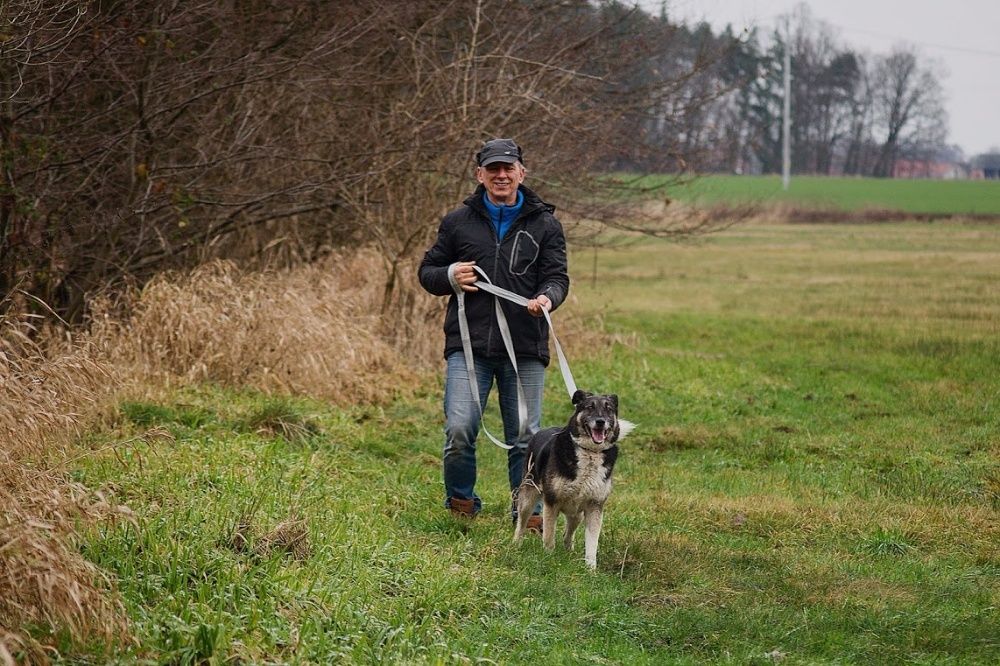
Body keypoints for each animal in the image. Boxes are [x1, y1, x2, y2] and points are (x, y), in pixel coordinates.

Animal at [512, 390, 636, 564]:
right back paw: (516, 545)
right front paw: (548, 558)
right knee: (521, 523)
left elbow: (592, 543)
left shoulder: (594, 506)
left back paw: (568, 552)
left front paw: (590, 568)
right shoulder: (551, 502)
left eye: (609, 409)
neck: (590, 452)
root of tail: (540, 432)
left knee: (567, 535)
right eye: (590, 407)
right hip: (528, 497)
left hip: (577, 514)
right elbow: (549, 536)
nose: (600, 422)